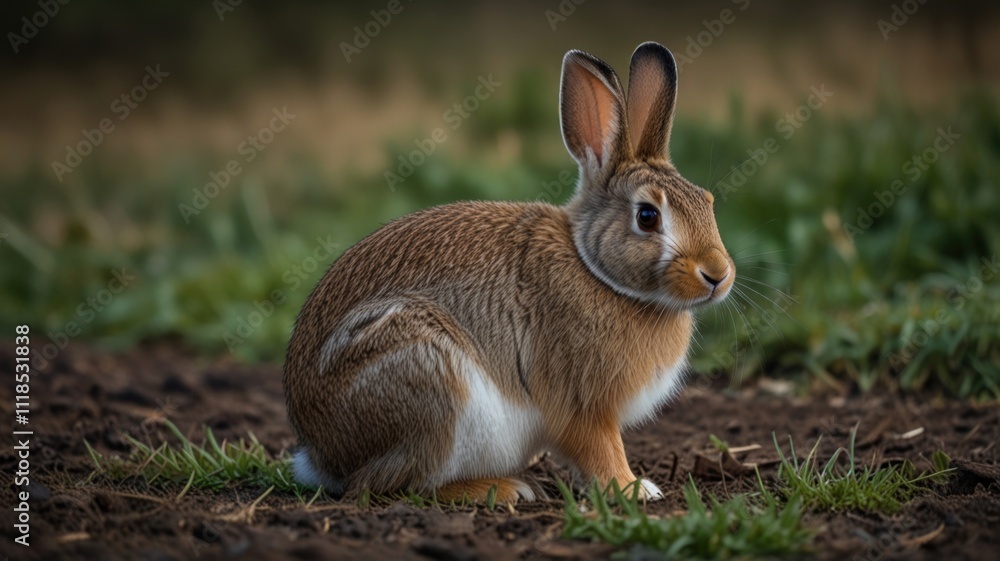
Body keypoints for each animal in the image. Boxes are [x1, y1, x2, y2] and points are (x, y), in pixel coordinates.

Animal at [283, 41, 735, 504]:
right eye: (647, 217)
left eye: (708, 202)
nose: (718, 275)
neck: (597, 272)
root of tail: (320, 454)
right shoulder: (581, 405)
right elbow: (602, 449)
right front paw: (633, 488)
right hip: (428, 380)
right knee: (390, 483)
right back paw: (501, 489)